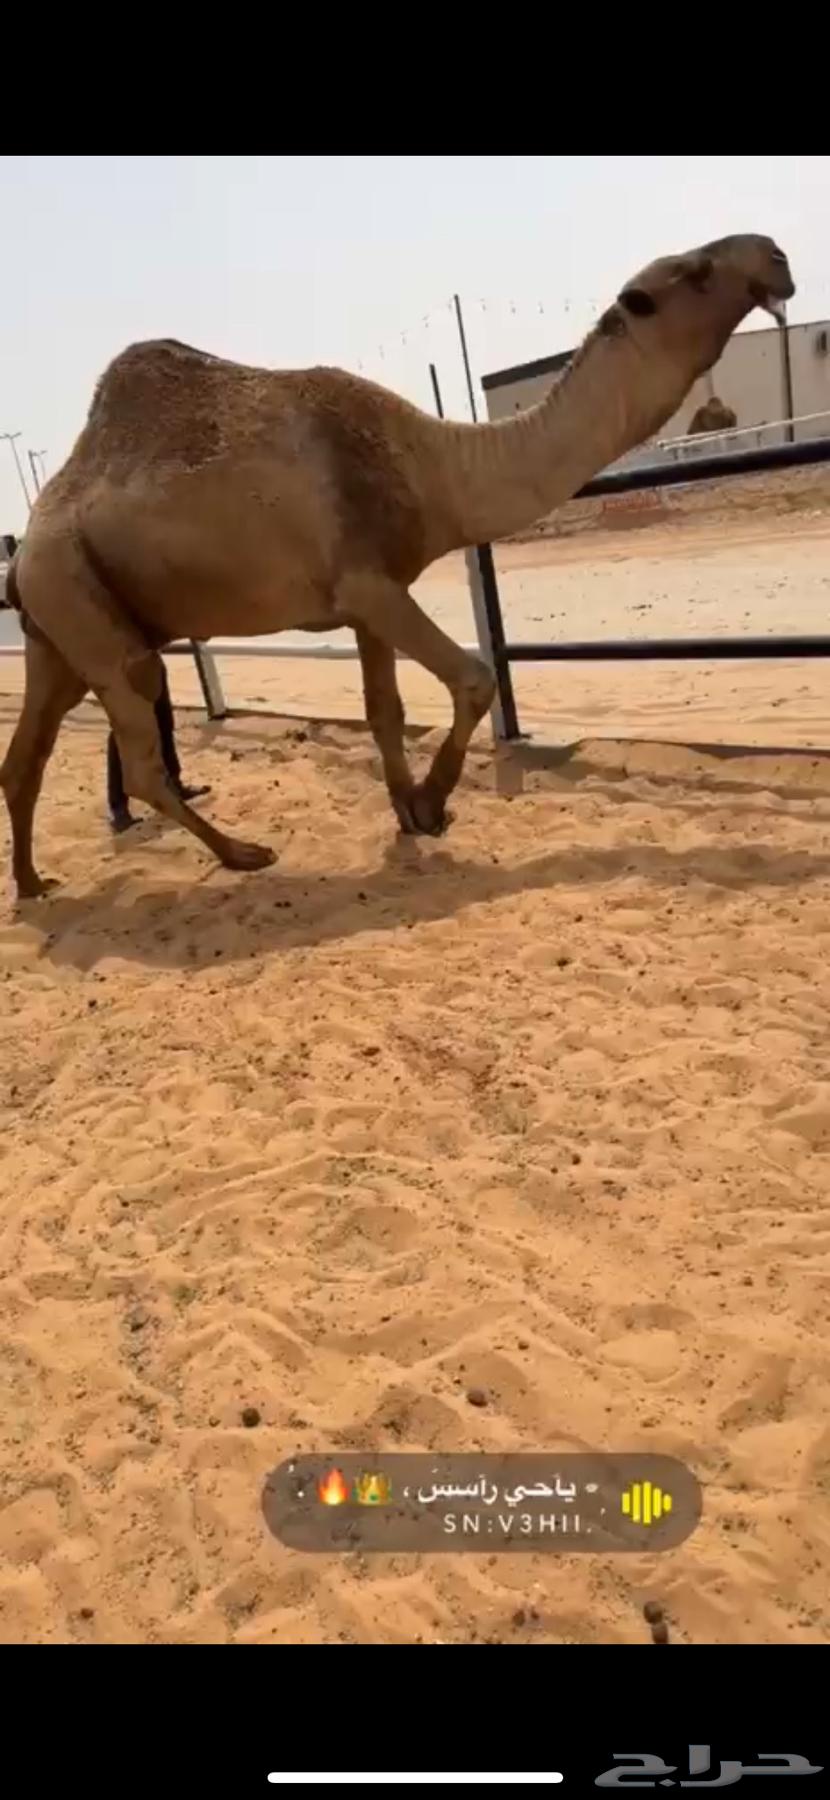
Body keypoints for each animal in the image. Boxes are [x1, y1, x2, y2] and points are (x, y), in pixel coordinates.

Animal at [1, 233, 793, 901]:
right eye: (696, 271)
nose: (777, 255)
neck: (435, 466)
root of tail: (23, 553)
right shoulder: (369, 583)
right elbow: (474, 677)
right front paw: (432, 805)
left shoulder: (362, 599)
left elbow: (384, 710)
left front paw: (407, 811)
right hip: (78, 601)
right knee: (139, 741)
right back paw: (244, 854)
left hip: (57, 632)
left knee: (28, 755)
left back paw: (36, 884)